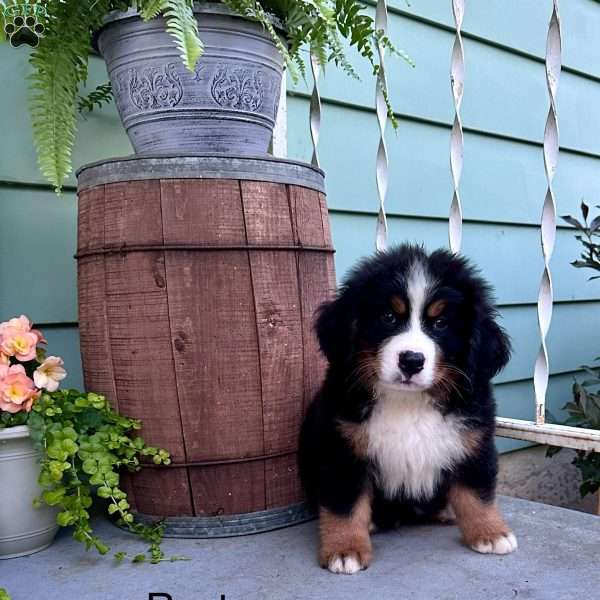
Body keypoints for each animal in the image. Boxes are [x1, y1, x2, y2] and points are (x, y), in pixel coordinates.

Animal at [300, 243, 516, 572]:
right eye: (389, 317)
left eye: (440, 324)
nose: (411, 361)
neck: (407, 402)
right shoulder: (342, 449)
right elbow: (344, 505)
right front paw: (345, 548)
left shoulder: (473, 442)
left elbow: (477, 493)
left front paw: (491, 533)